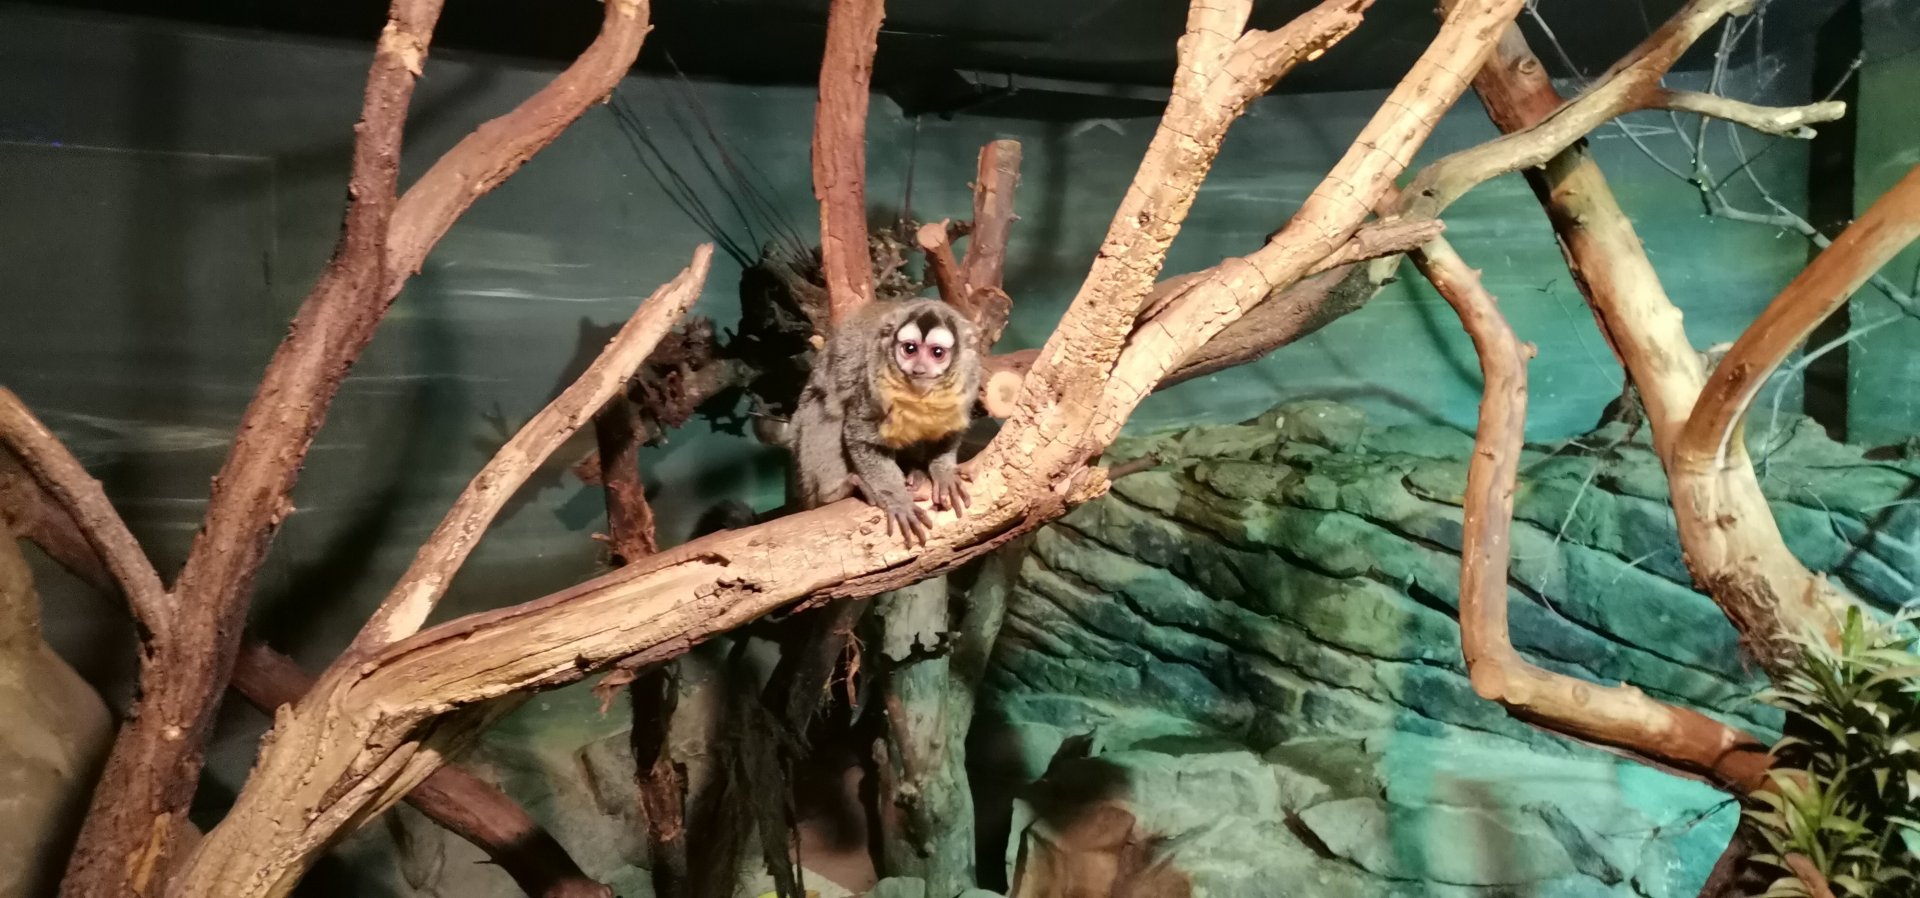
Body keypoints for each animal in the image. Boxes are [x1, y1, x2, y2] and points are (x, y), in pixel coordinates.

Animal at [787, 297, 980, 546]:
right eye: (910, 349)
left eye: (937, 353)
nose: (919, 369)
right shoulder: (873, 383)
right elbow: (861, 436)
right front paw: (898, 499)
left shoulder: (969, 377)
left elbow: (950, 430)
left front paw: (943, 473)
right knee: (825, 410)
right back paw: (837, 491)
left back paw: (914, 471)